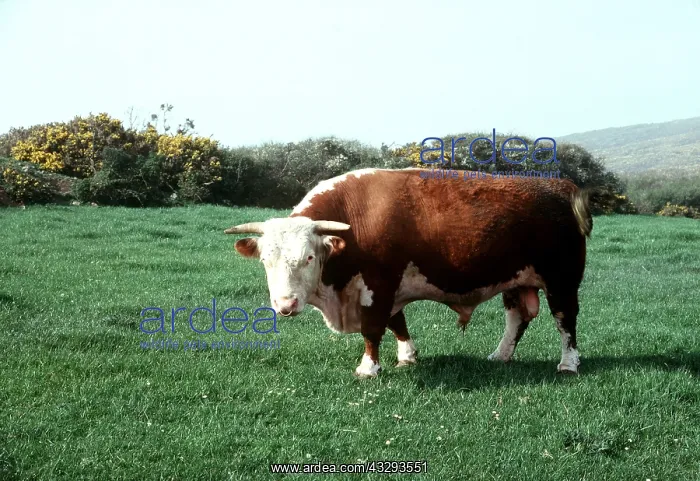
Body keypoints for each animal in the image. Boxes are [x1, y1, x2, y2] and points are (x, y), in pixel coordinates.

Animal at [224, 168, 592, 378]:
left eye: (309, 258)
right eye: (266, 261)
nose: (285, 305)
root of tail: (560, 186)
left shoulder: (379, 284)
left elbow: (373, 328)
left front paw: (368, 368)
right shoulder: (390, 289)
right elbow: (396, 322)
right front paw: (407, 357)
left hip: (561, 280)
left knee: (565, 319)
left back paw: (568, 363)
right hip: (515, 280)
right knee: (517, 318)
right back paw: (499, 356)